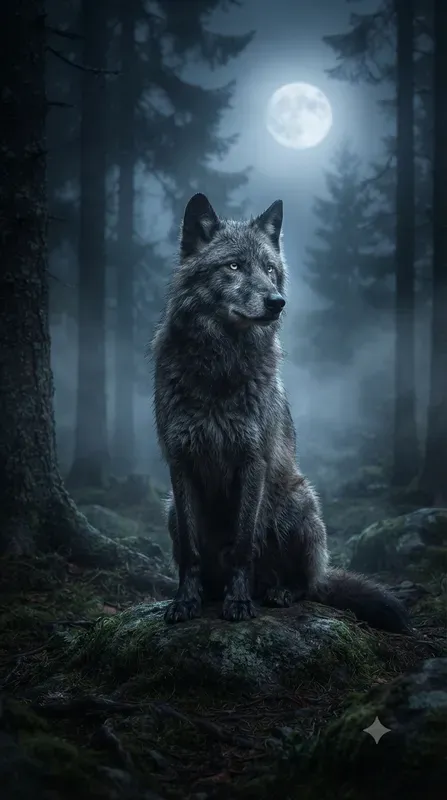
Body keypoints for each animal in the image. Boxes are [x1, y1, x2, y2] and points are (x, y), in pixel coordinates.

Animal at [152, 192, 411, 634]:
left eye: (270, 270)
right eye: (234, 266)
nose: (277, 301)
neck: (219, 367)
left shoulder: (252, 460)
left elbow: (244, 545)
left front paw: (239, 602)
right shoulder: (180, 462)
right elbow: (189, 550)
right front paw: (185, 600)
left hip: (299, 503)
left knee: (308, 583)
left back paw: (279, 592)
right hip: (170, 507)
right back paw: (216, 591)